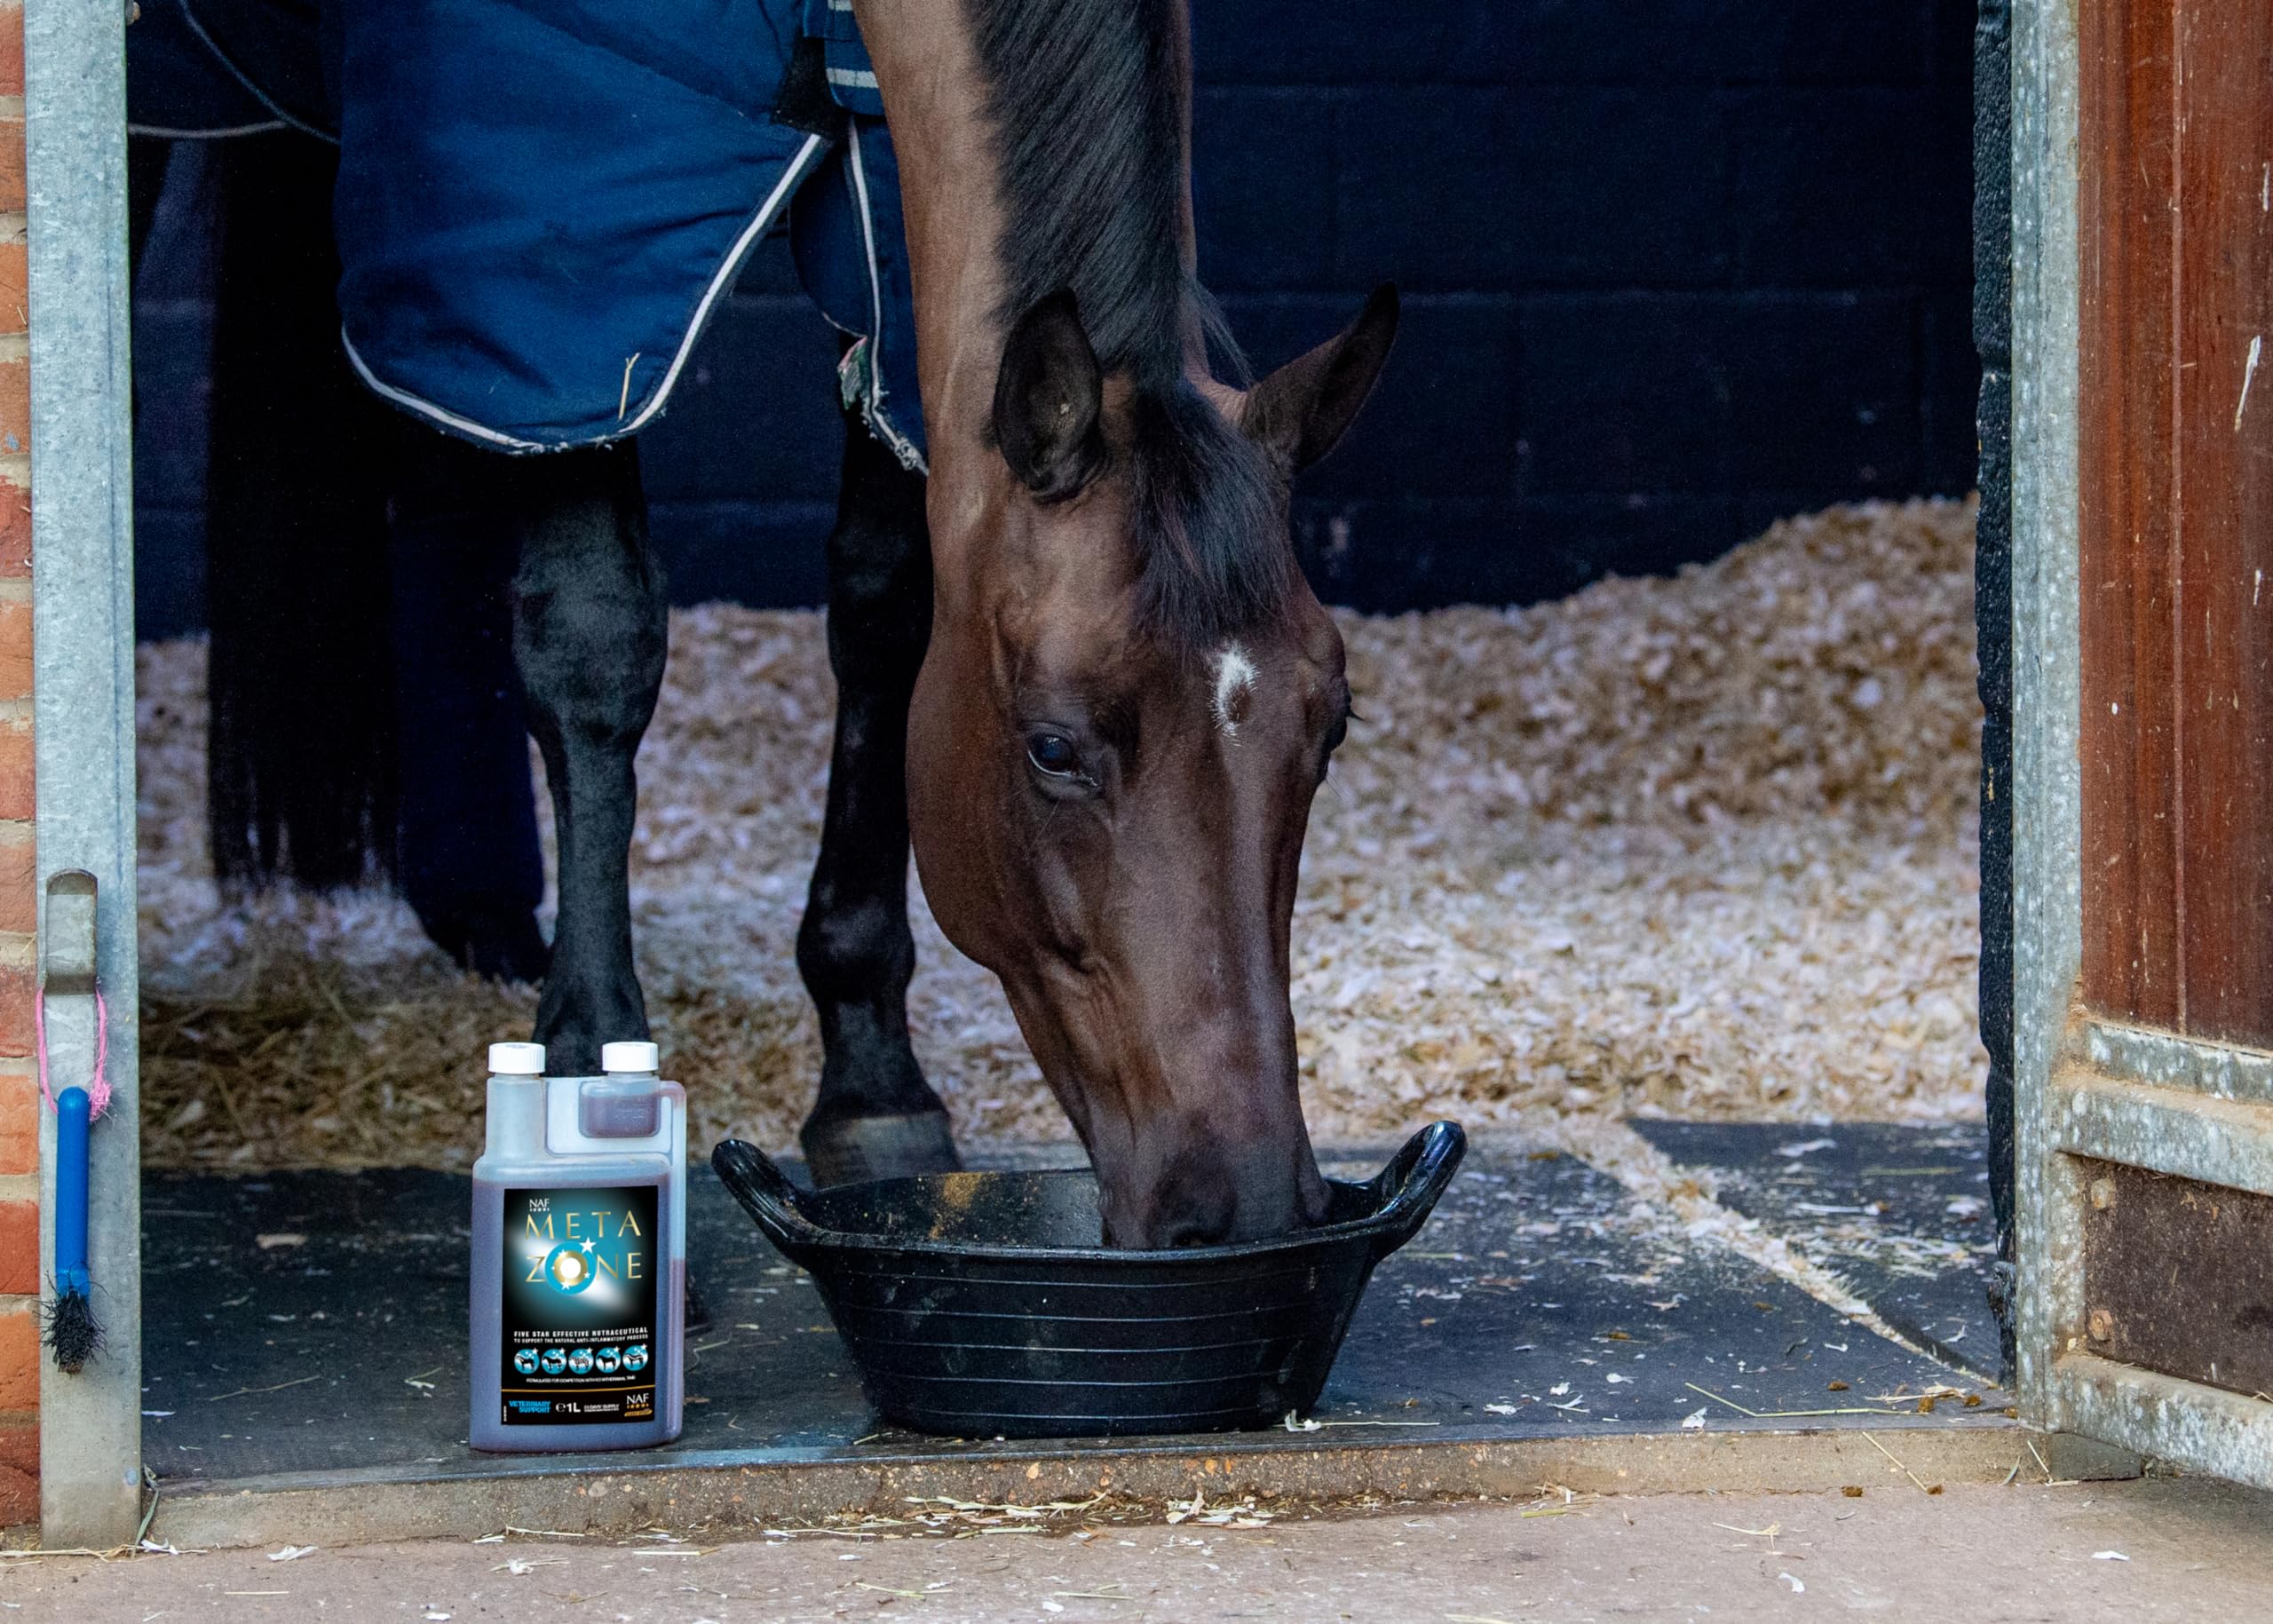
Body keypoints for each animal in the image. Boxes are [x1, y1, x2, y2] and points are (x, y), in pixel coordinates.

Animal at [143, 0, 1397, 1245]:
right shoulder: (562, 236)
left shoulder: (888, 225)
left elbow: (886, 616)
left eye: (1332, 729)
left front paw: (872, 1080)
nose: (1247, 1205)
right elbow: (596, 643)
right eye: (1051, 748)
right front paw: (584, 1069)